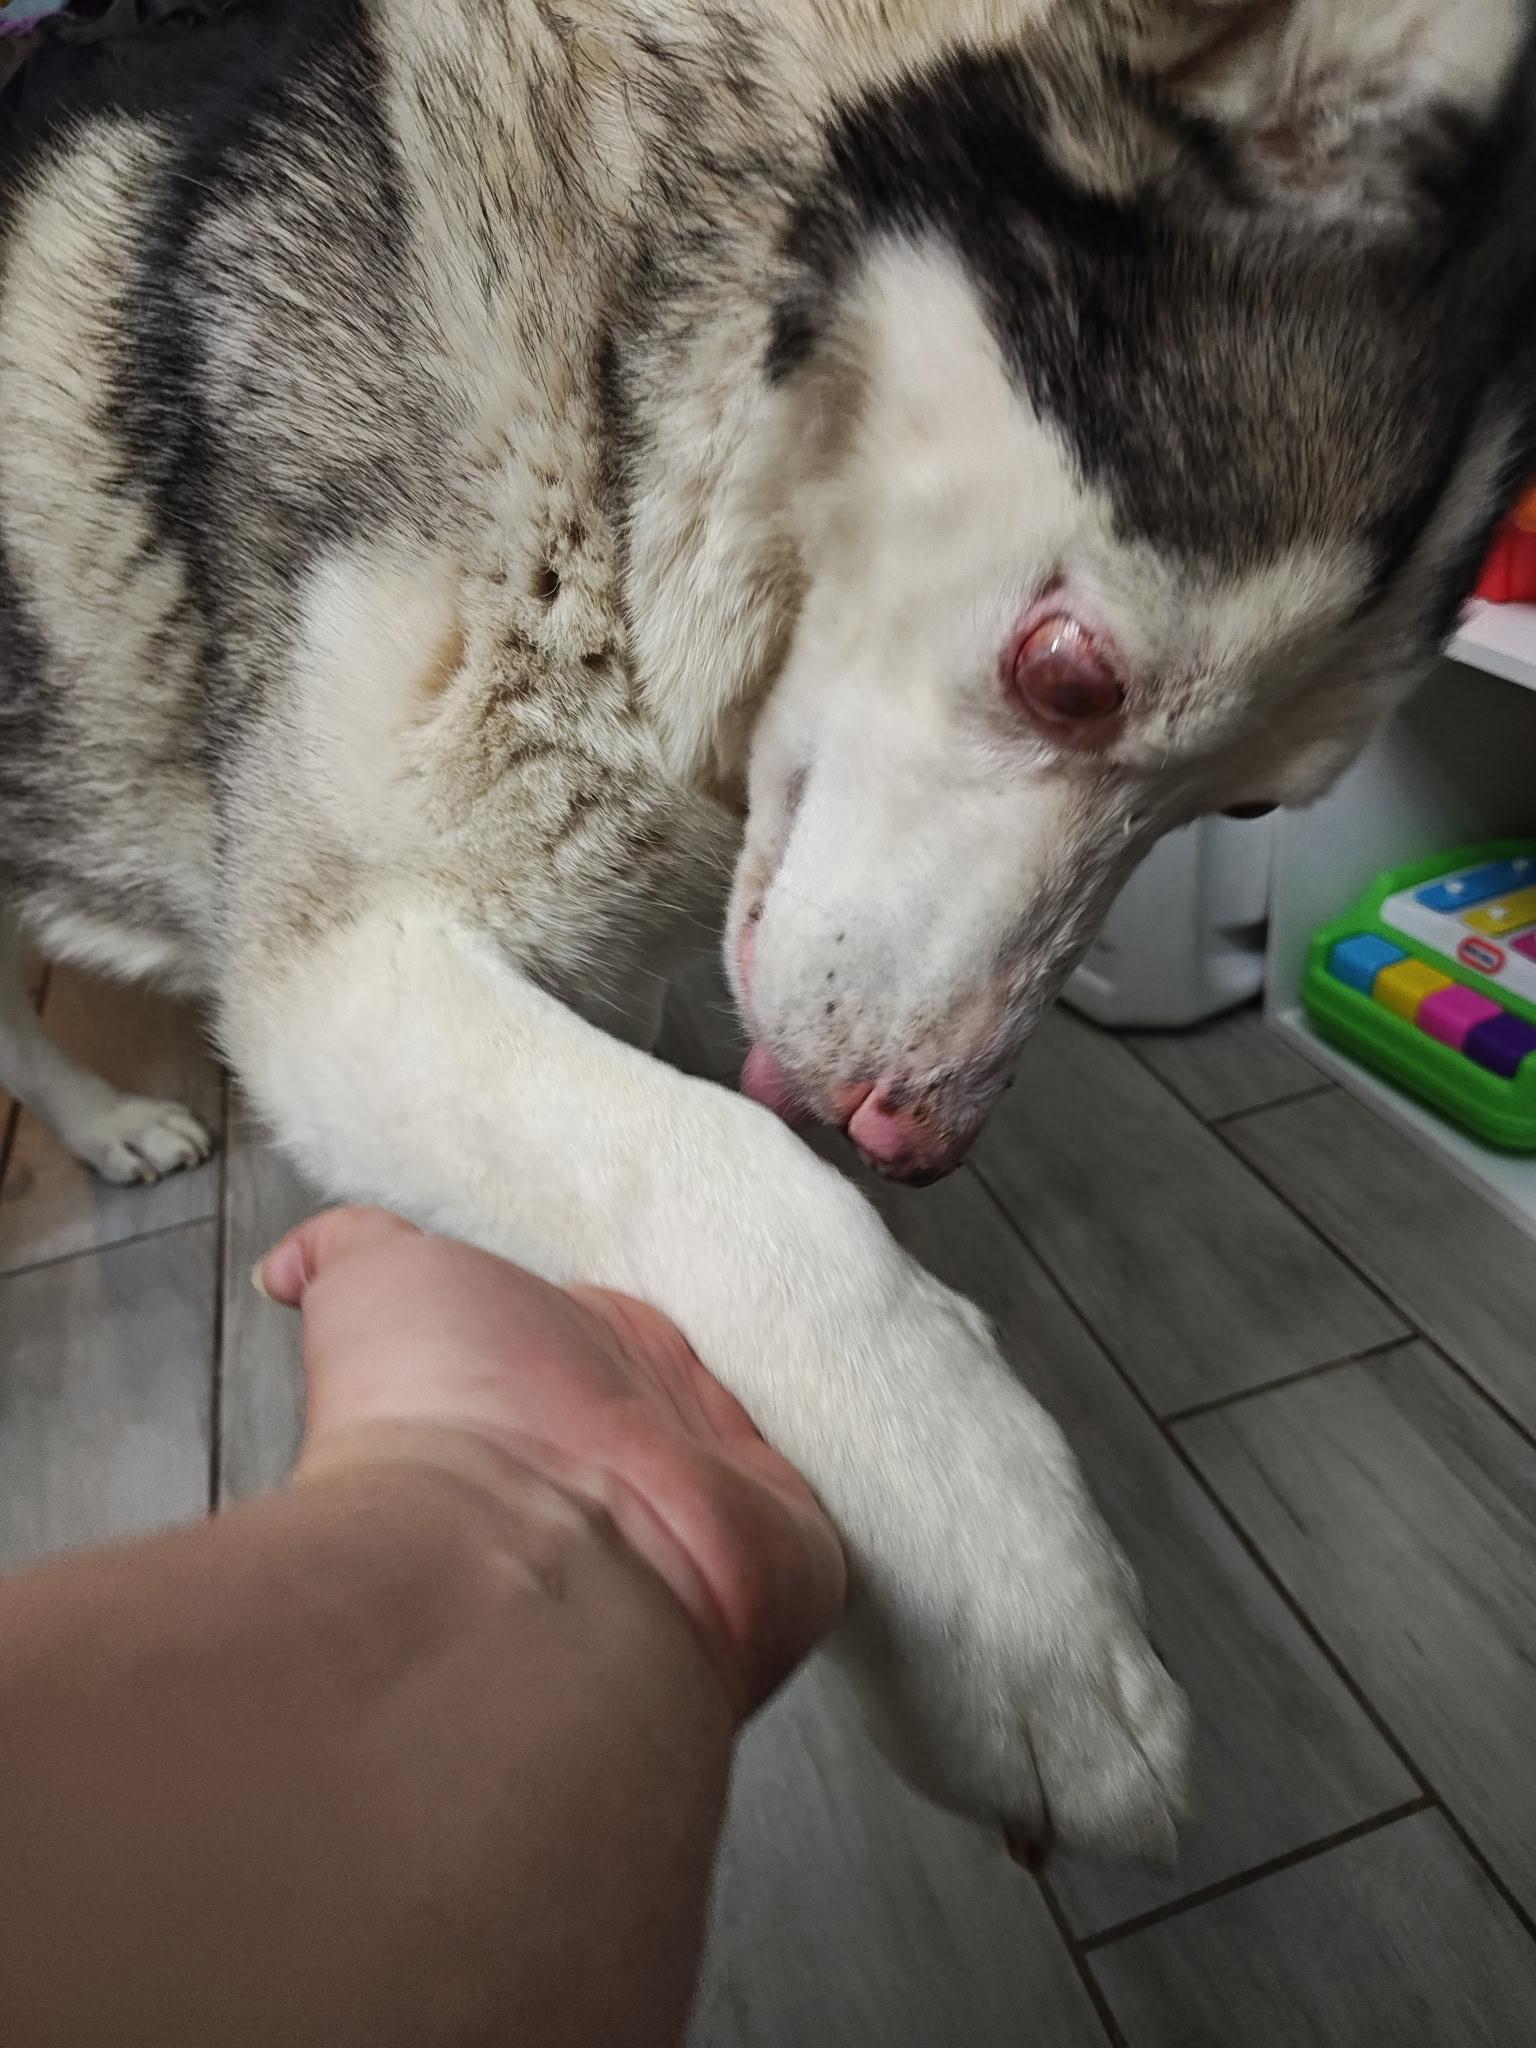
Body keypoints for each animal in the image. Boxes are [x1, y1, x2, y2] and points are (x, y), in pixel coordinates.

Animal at [3, 0, 1534, 1857]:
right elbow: (715, 1168)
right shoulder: (342, 961)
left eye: (1250, 811)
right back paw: (100, 1116)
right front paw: (1008, 1607)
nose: (910, 1134)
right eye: (1069, 675)